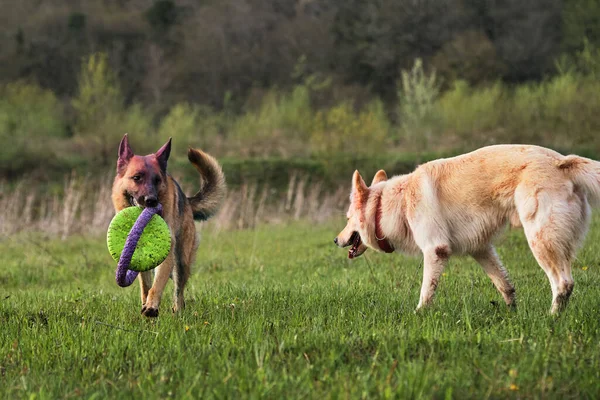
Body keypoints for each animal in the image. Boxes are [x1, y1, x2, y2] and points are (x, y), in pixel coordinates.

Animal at [112, 134, 225, 316]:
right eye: (137, 178)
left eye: (157, 180)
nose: (151, 201)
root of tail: (187, 201)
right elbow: (145, 285)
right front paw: (145, 303)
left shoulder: (168, 255)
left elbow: (157, 284)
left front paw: (151, 306)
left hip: (181, 260)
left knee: (179, 290)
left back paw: (178, 311)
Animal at [332, 145, 600, 314]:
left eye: (348, 218)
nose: (335, 240)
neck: (395, 202)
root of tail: (562, 161)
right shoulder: (481, 249)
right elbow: (504, 284)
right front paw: (512, 312)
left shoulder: (435, 250)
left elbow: (426, 291)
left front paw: (419, 314)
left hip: (540, 240)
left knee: (563, 284)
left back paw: (551, 319)